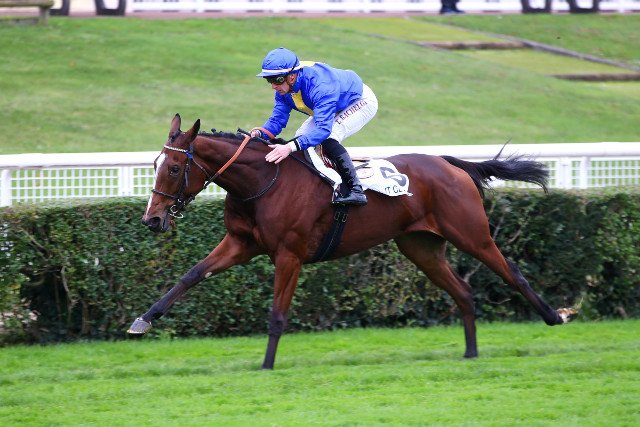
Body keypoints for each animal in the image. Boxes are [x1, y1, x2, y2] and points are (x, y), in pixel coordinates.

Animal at [128, 114, 575, 369]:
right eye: (153, 164)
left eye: (173, 168)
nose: (152, 219)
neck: (262, 181)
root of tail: (449, 163)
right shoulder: (240, 244)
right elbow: (190, 276)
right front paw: (143, 321)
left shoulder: (289, 254)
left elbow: (277, 315)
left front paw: (267, 366)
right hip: (421, 247)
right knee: (463, 292)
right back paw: (470, 353)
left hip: (472, 234)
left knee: (512, 271)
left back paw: (556, 315)